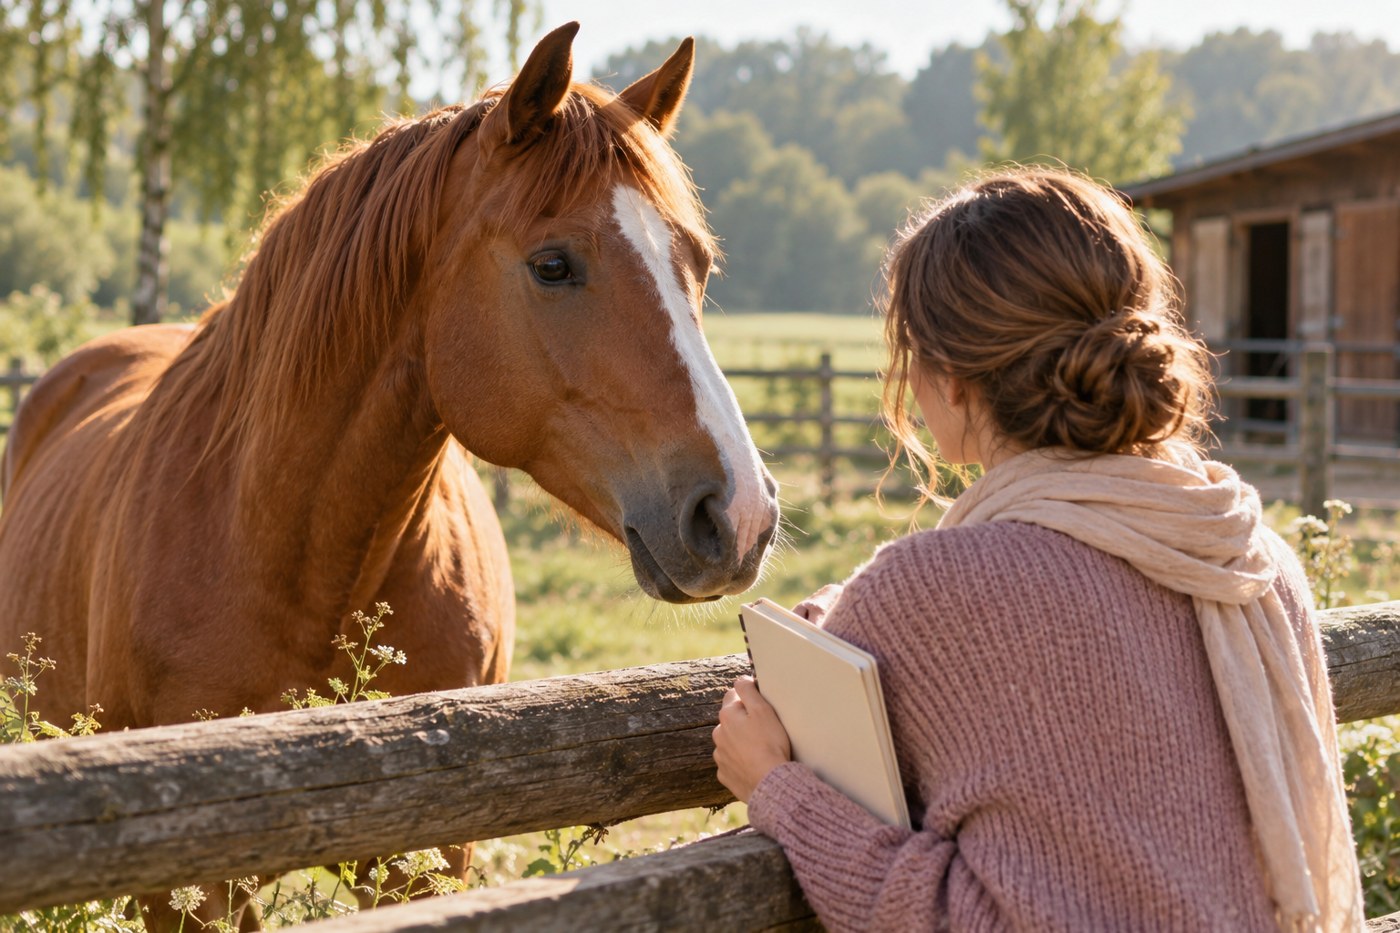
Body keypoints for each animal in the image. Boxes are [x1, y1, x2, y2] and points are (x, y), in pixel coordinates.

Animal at [0, 23, 779, 927]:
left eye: (699, 264)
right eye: (552, 265)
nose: (740, 514)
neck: (296, 564)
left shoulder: (429, 848)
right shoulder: (183, 886)